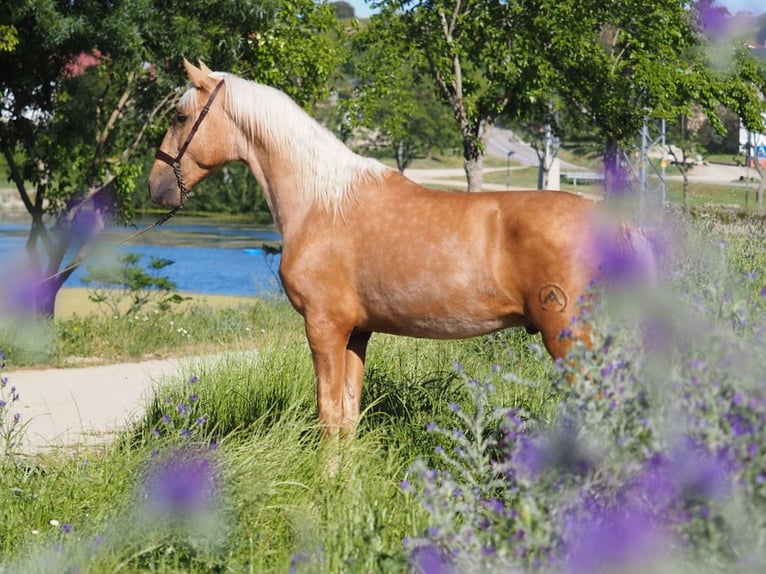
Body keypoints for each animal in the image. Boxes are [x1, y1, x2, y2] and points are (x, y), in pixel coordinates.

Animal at [147, 59, 652, 436]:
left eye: (179, 116)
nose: (156, 188)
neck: (321, 201)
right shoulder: (357, 333)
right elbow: (348, 417)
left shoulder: (324, 327)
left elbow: (327, 415)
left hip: (572, 341)